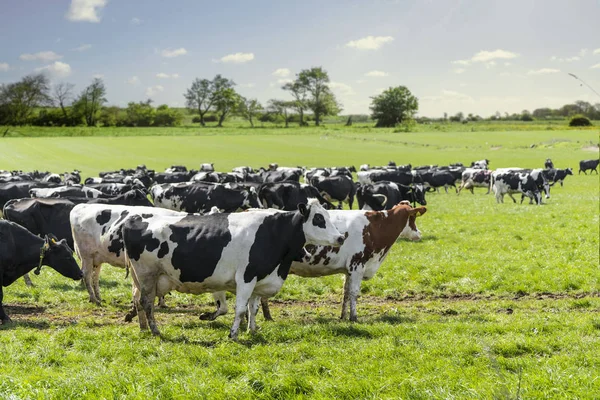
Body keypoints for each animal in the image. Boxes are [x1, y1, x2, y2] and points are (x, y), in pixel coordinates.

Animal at [122, 199, 344, 338]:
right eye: (318, 219)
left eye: (328, 216)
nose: (340, 237)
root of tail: (136, 218)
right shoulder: (246, 277)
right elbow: (240, 309)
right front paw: (234, 334)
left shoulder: (258, 280)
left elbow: (252, 308)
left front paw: (252, 330)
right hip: (147, 274)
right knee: (147, 302)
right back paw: (155, 331)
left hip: (142, 278)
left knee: (138, 300)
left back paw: (143, 328)